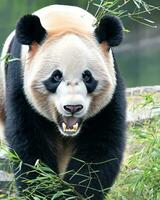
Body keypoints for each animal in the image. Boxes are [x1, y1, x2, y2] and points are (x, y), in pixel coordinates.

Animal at [0, 3, 125, 199]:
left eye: (87, 77)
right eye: (56, 76)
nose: (73, 107)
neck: (65, 22)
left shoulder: (111, 84)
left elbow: (100, 144)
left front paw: (75, 191)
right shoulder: (19, 77)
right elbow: (30, 144)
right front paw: (45, 189)